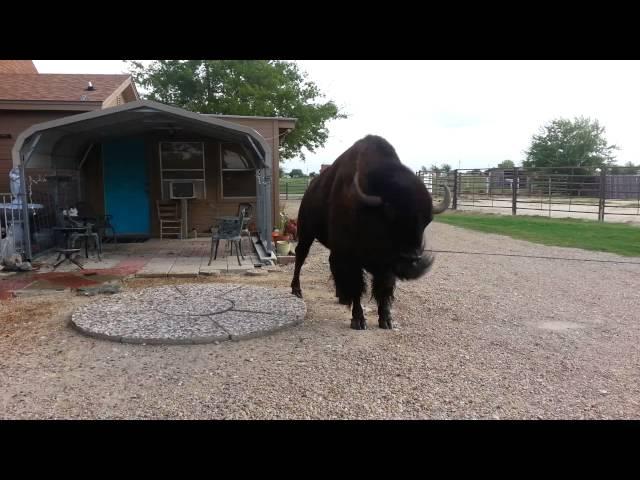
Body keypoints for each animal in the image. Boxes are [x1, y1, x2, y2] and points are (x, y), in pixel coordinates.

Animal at [290, 135, 450, 330]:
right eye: (389, 214)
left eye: (427, 220)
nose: (411, 259)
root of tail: (309, 190)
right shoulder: (351, 257)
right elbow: (357, 286)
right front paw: (358, 320)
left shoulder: (385, 265)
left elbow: (384, 288)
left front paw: (386, 320)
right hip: (307, 232)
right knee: (300, 256)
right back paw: (297, 291)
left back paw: (341, 297)